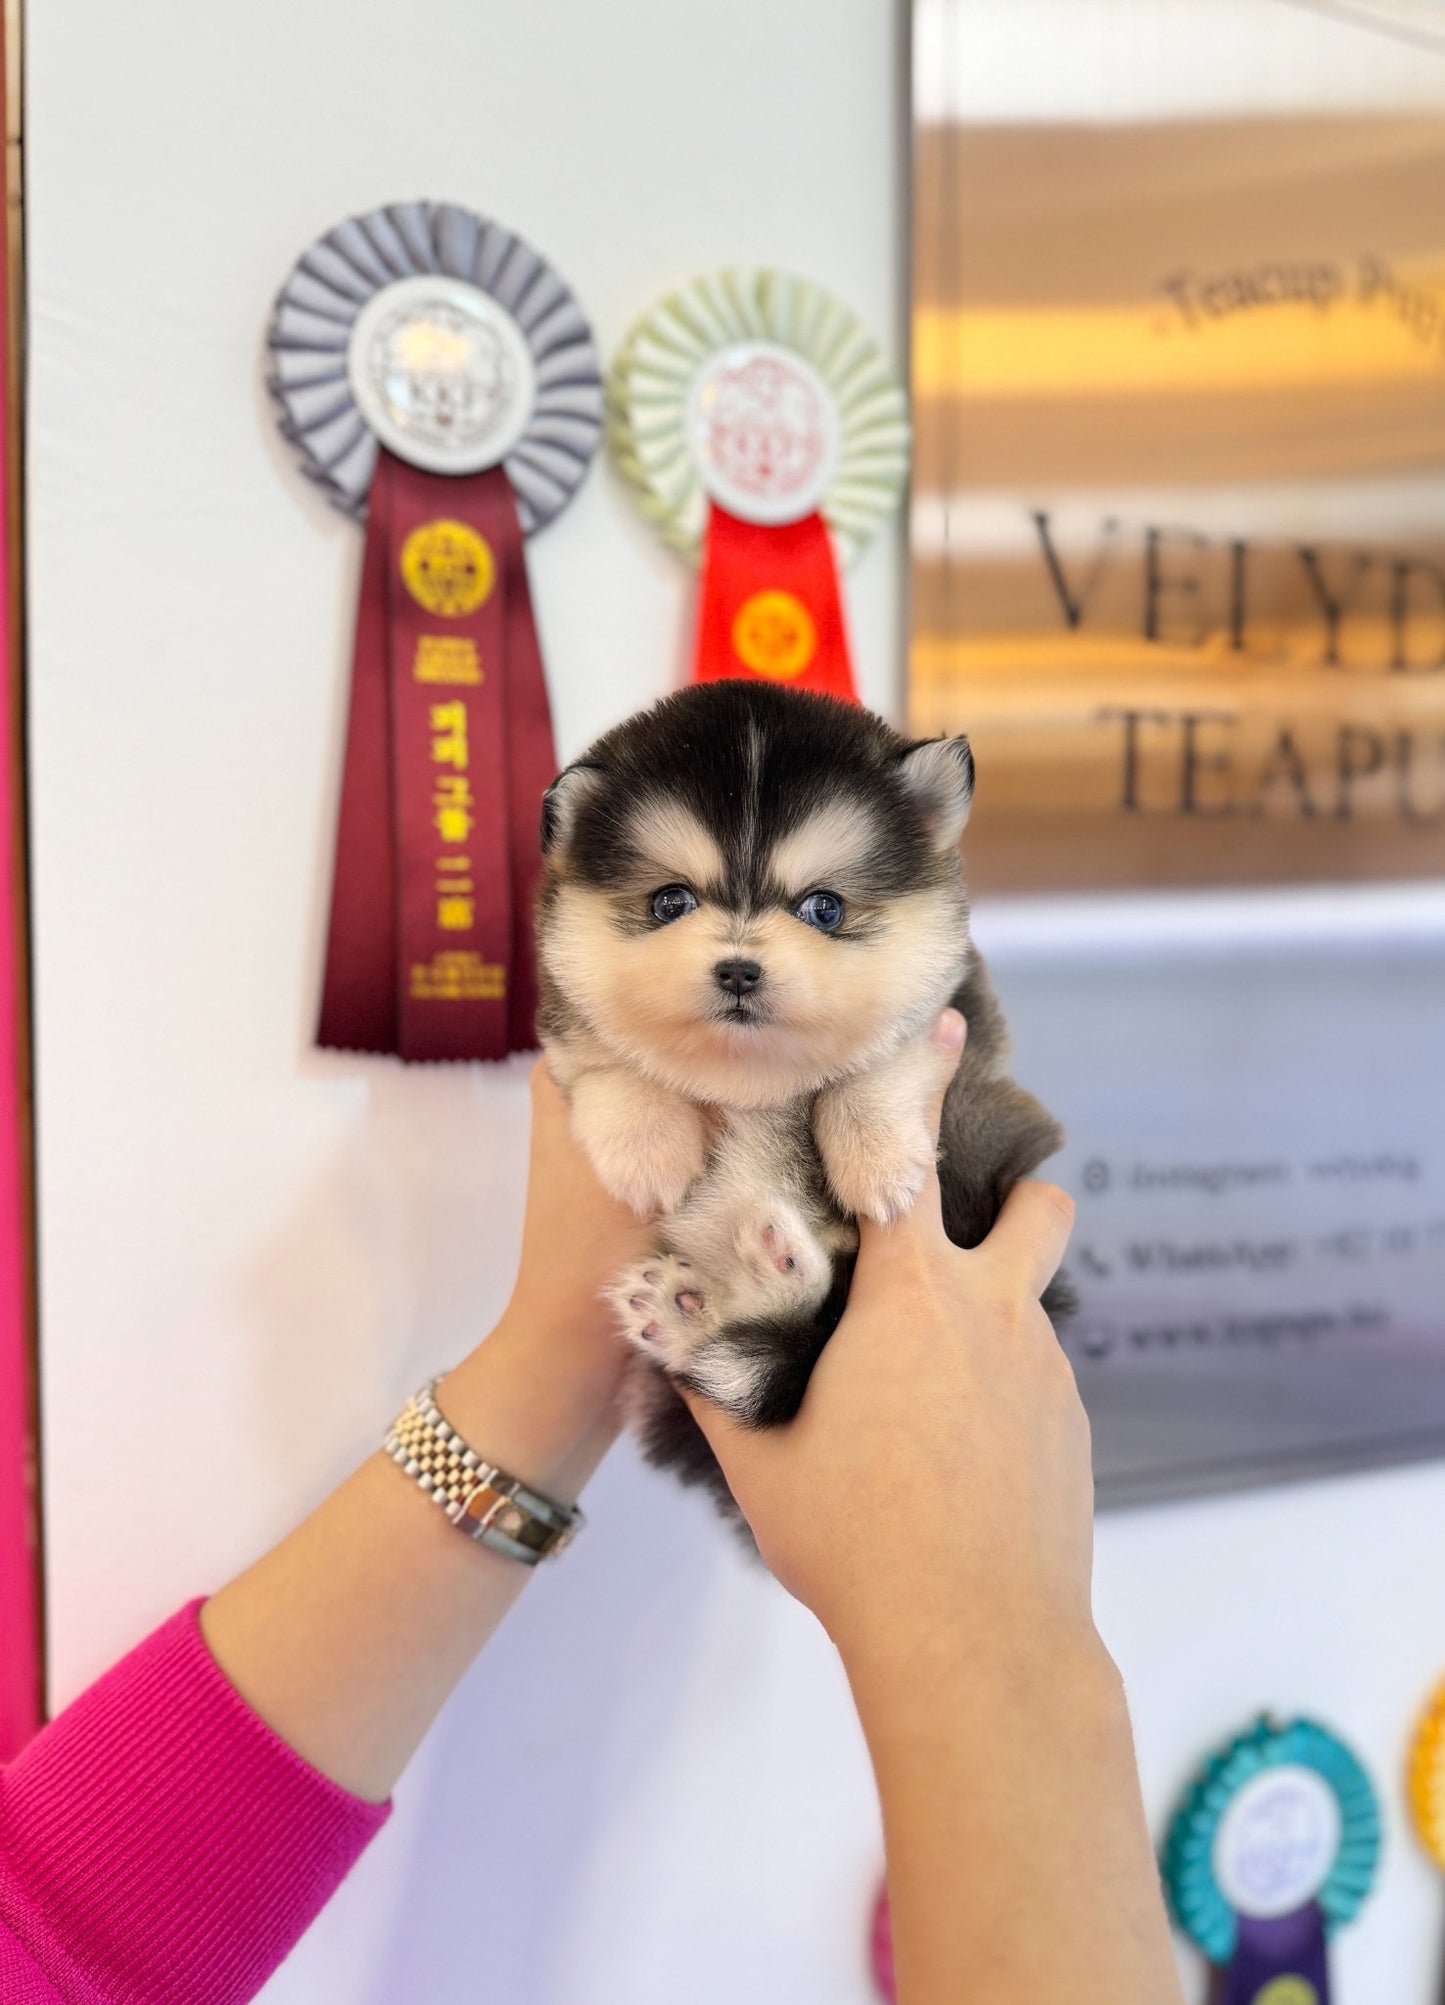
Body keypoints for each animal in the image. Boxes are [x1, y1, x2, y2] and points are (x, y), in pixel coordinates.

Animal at [537, 681, 1066, 1507]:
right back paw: (697, 1307)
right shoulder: (565, 1015)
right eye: (669, 902)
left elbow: (881, 1057)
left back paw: (766, 1273)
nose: (738, 970)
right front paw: (647, 1149)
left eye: (824, 907)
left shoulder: (955, 1015)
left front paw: (876, 1157)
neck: (753, 1079)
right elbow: (607, 1058)